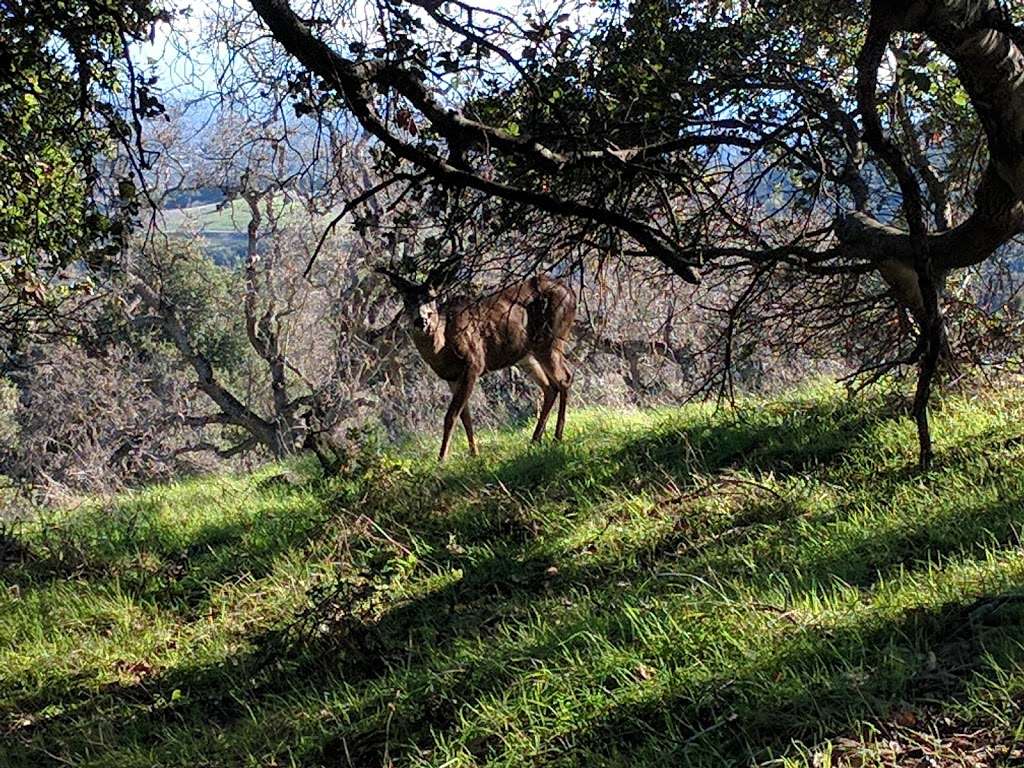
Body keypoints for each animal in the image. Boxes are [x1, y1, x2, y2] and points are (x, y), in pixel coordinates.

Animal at [382, 268, 581, 460]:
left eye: (432, 297)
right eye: (406, 300)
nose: (421, 320)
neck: (443, 347)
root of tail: (571, 293)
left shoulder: (473, 364)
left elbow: (451, 416)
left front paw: (442, 459)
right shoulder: (452, 378)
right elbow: (465, 417)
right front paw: (474, 454)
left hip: (551, 338)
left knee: (564, 378)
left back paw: (557, 437)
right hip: (527, 355)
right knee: (549, 386)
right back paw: (535, 440)